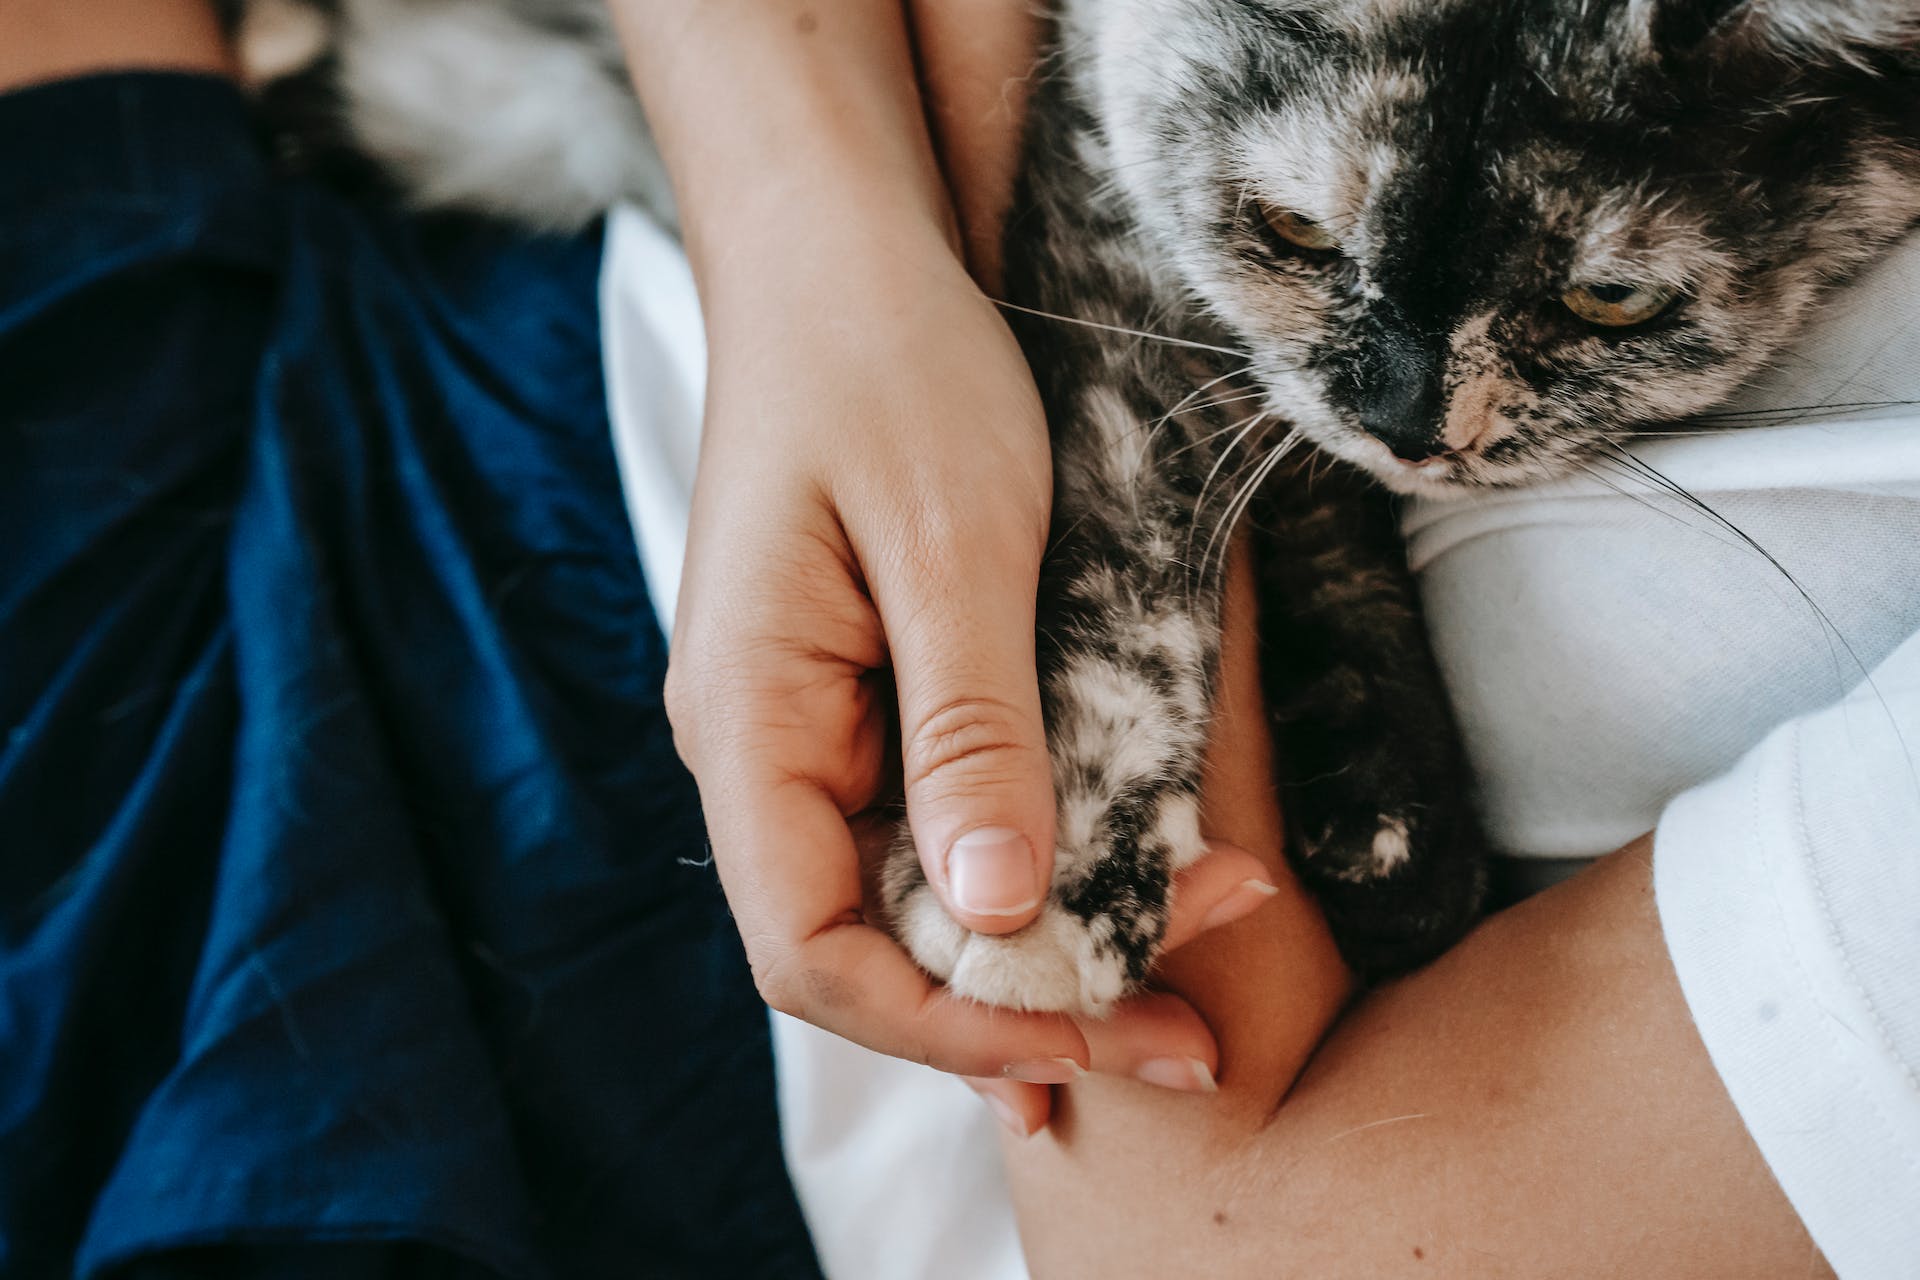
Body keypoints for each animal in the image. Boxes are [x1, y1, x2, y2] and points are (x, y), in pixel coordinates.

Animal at [232, 0, 1920, 1013]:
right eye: (1293, 227)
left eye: (1609, 300)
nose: (1404, 416)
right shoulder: (1118, 217)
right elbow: (1134, 509)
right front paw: (1051, 857)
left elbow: (1304, 488)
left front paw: (1391, 819)